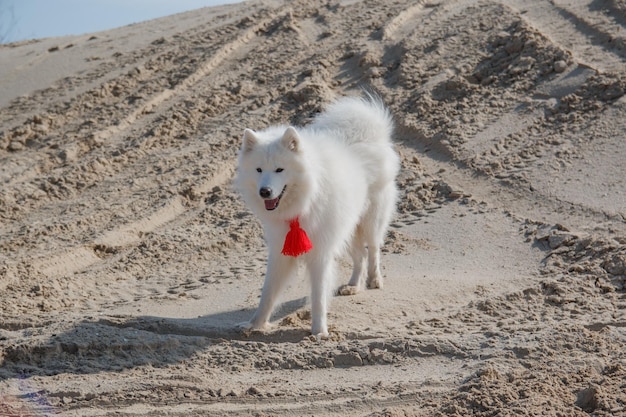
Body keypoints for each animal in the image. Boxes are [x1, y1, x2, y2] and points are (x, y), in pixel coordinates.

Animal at [232, 95, 398, 338]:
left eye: (280, 169)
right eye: (259, 170)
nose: (265, 192)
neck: (304, 201)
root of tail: (369, 133)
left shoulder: (320, 252)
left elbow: (318, 295)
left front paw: (320, 331)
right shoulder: (280, 251)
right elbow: (268, 292)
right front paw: (255, 324)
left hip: (370, 221)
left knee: (374, 250)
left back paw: (374, 280)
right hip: (347, 228)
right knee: (360, 256)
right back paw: (353, 286)